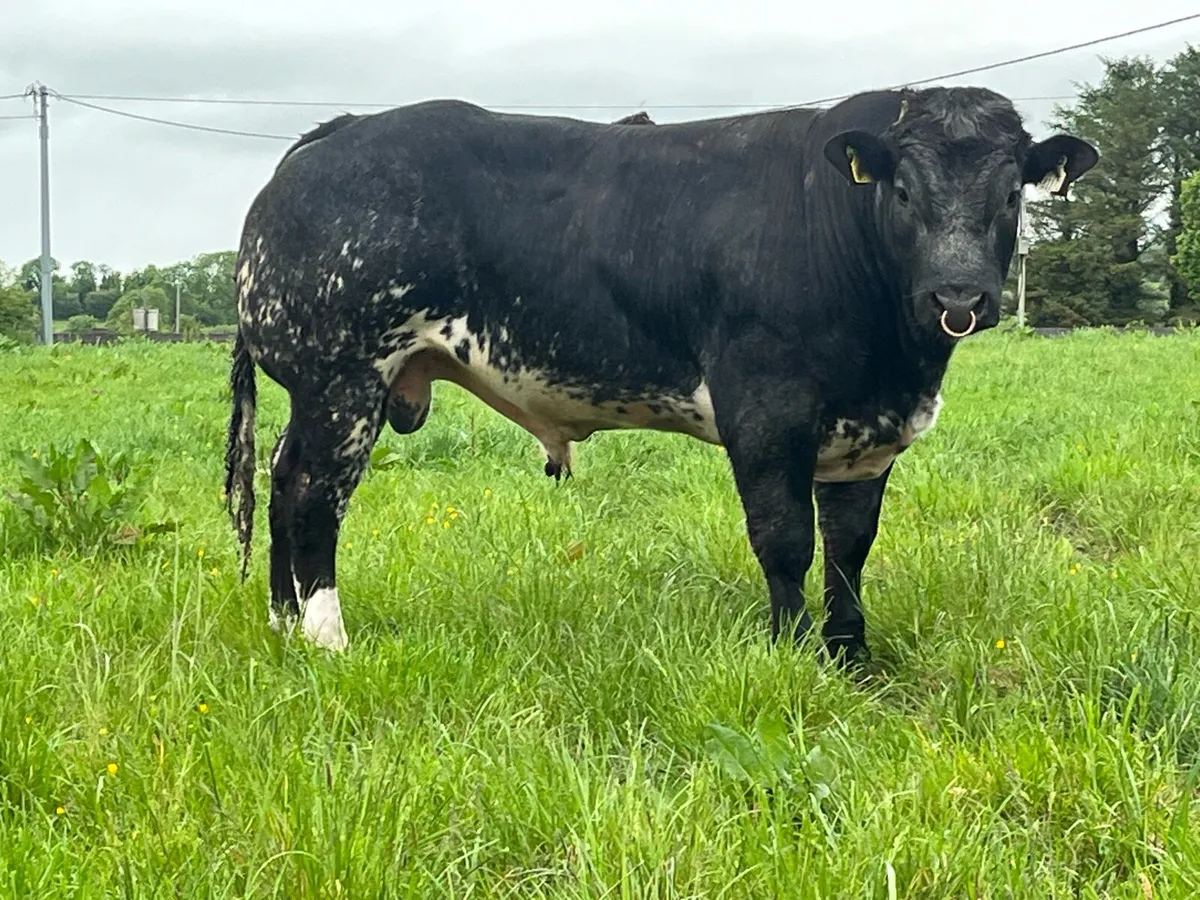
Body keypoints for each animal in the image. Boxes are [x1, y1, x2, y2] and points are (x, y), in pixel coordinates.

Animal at [224, 86, 1097, 664]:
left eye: (1010, 194)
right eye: (905, 189)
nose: (960, 296)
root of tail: (335, 136)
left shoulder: (868, 432)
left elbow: (850, 548)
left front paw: (850, 658)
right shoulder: (765, 408)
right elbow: (785, 539)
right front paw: (792, 655)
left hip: (320, 392)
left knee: (281, 478)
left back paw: (281, 625)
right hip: (343, 380)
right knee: (314, 497)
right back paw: (328, 637)